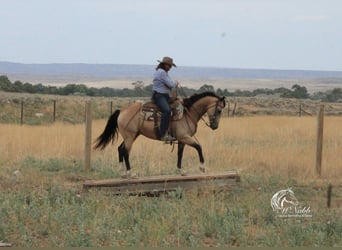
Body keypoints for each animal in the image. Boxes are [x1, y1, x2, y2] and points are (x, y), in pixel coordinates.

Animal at [95, 92, 226, 178]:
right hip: (130, 137)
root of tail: (121, 111)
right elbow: (199, 147)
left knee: (120, 149)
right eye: (219, 110)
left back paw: (122, 172)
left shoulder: (182, 140)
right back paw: (130, 173)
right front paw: (202, 167)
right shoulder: (185, 137)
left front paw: (180, 170)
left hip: (132, 136)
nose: (215, 126)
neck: (187, 114)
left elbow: (180, 154)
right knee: (125, 151)